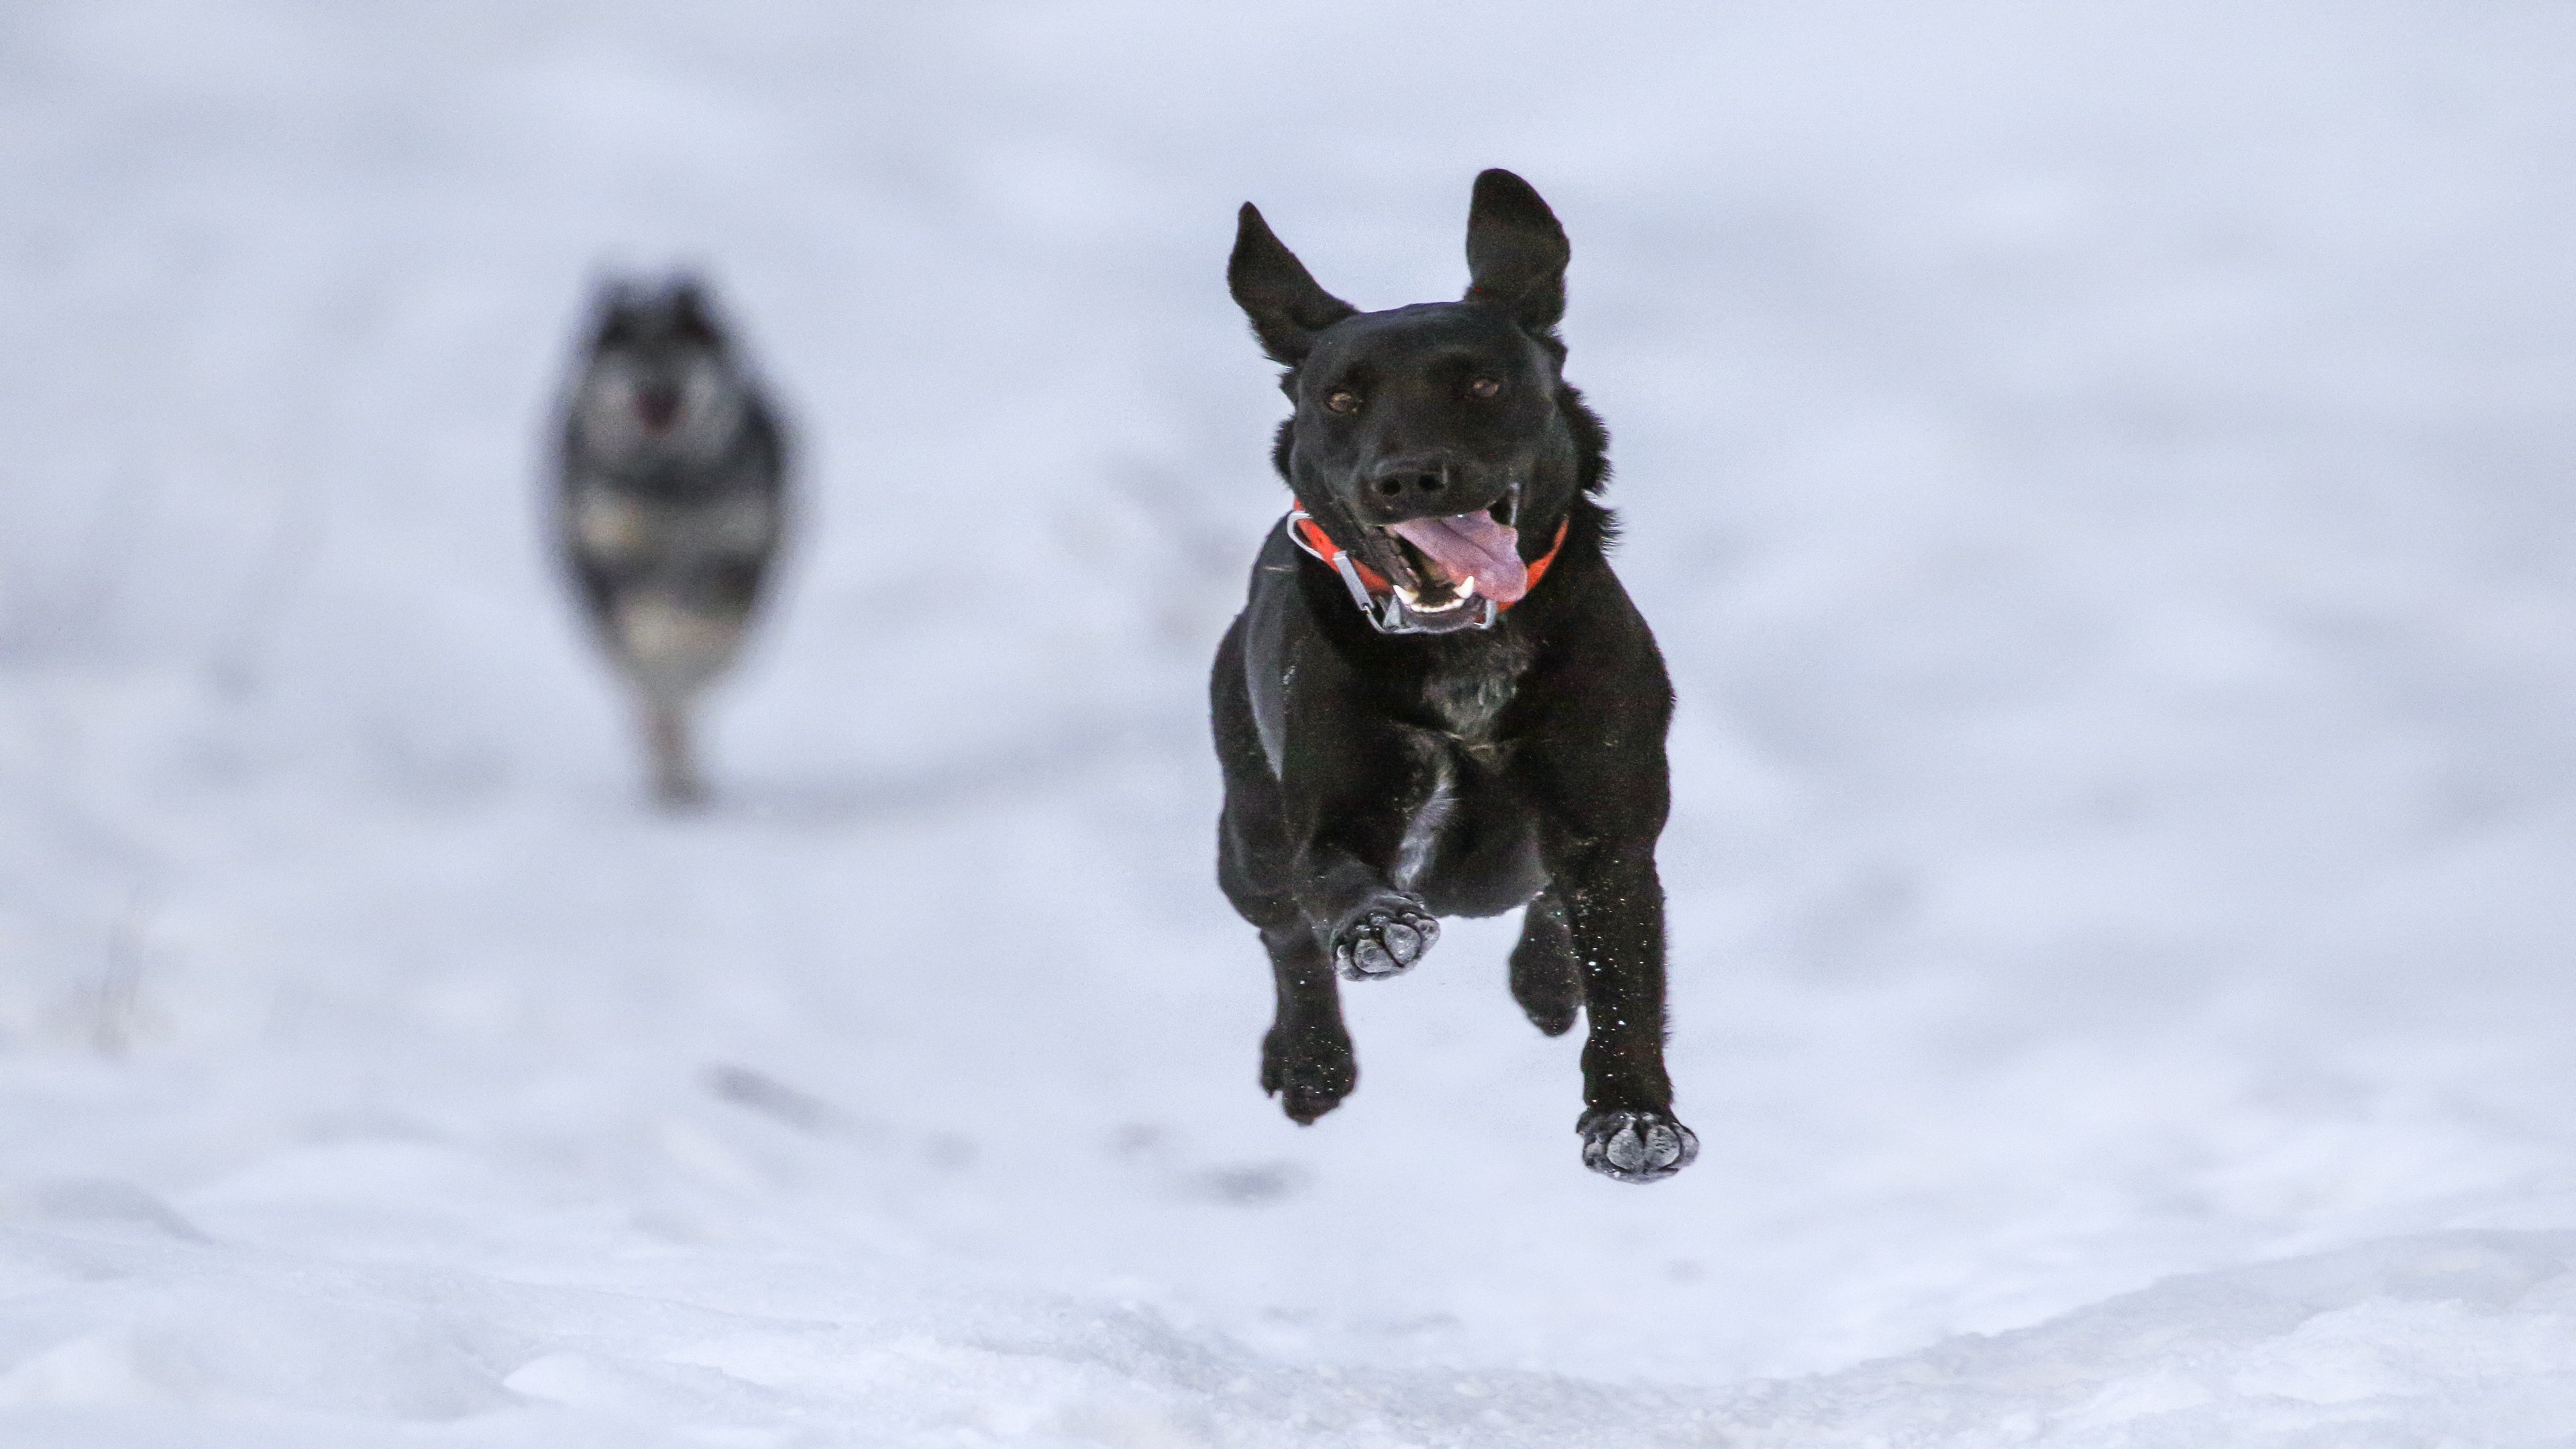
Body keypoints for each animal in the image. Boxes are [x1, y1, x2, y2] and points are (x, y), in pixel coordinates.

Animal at [548, 276, 777, 804]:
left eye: (681, 347)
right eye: (628, 352)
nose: (655, 385)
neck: (668, 482)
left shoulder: (739, 546)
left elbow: (710, 630)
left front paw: (692, 643)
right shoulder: (613, 546)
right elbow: (649, 634)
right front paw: (663, 644)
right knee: (653, 705)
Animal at [1216, 171, 1700, 1185]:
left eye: (1483, 383)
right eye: (1342, 399)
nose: (1408, 478)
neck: (1463, 658)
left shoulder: (1608, 821)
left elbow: (1624, 968)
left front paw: (1633, 1116)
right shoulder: (1328, 807)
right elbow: (1332, 880)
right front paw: (1375, 928)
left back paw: (1546, 986)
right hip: (1245, 835)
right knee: (1283, 930)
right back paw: (1312, 1061)